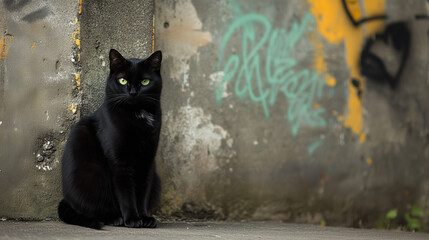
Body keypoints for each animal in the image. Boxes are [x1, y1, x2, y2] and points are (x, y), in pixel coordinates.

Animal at [58, 48, 162, 229]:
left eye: (145, 82)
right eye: (122, 80)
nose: (133, 93)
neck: (138, 116)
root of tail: (67, 200)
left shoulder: (148, 159)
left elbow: (143, 191)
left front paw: (144, 217)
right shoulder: (119, 161)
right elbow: (126, 193)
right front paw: (133, 219)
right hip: (94, 176)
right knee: (93, 206)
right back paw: (115, 218)